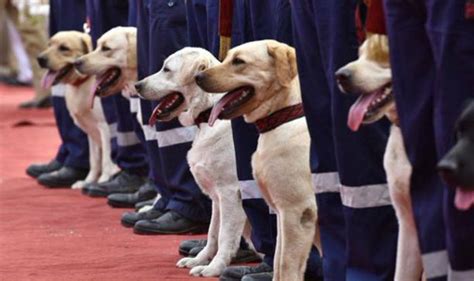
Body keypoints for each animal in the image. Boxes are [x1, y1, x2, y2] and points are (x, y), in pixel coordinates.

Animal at [38, 30, 119, 188]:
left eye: (64, 48)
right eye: (49, 45)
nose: (40, 59)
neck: (82, 83)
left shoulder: (106, 127)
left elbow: (106, 160)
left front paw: (103, 181)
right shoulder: (91, 131)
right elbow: (94, 161)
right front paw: (88, 181)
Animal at [133, 47, 244, 276]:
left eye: (166, 69)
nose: (137, 85)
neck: (210, 111)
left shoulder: (230, 192)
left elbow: (225, 235)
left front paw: (214, 268)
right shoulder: (217, 197)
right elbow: (212, 233)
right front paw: (199, 260)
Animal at [196, 39, 318, 280]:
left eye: (238, 61)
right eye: (227, 58)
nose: (198, 76)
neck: (283, 118)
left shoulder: (298, 212)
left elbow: (287, 266)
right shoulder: (281, 212)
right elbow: (278, 262)